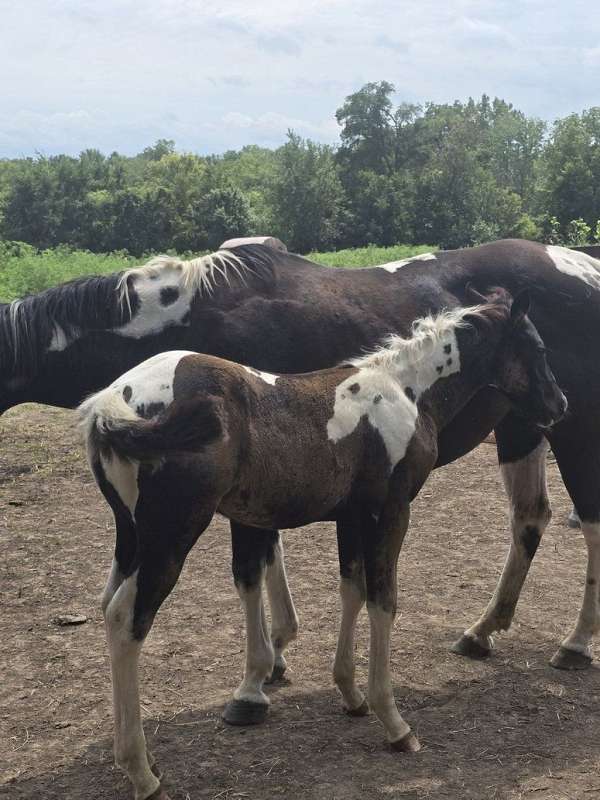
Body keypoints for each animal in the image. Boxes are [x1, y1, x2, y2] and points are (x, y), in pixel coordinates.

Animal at [2, 238, 600, 718]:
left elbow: (252, 567)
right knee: (529, 520)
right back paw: (483, 630)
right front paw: (278, 653)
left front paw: (257, 678)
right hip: (524, 427)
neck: (196, 315)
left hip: (572, 429)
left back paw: (575, 643)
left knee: (589, 522)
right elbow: (272, 556)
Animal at [79, 288, 566, 800]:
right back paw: (142, 772)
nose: (561, 405)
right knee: (126, 617)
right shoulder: (391, 512)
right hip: (171, 534)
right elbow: (383, 601)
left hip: (131, 534)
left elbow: (351, 591)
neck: (407, 392)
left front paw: (351, 694)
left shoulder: (352, 517)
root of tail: (112, 401)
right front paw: (395, 723)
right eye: (538, 350)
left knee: (108, 604)